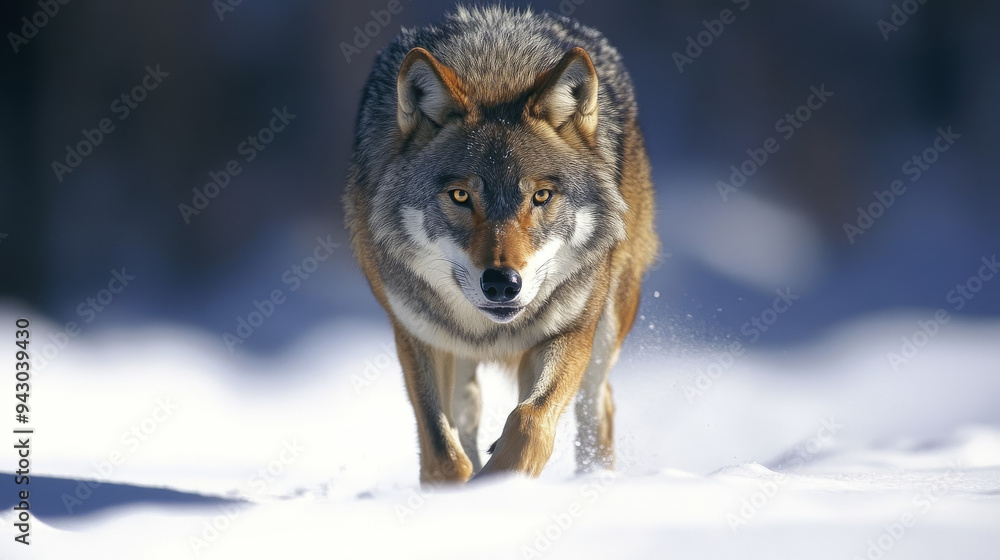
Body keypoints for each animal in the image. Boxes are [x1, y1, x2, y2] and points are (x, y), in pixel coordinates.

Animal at [344, 6, 658, 483]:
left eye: (541, 196)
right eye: (460, 196)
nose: (502, 284)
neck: (496, 70)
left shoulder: (570, 329)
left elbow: (529, 423)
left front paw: (497, 485)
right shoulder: (416, 335)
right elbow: (443, 454)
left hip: (604, 329)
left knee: (597, 406)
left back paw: (595, 480)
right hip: (457, 349)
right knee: (468, 408)